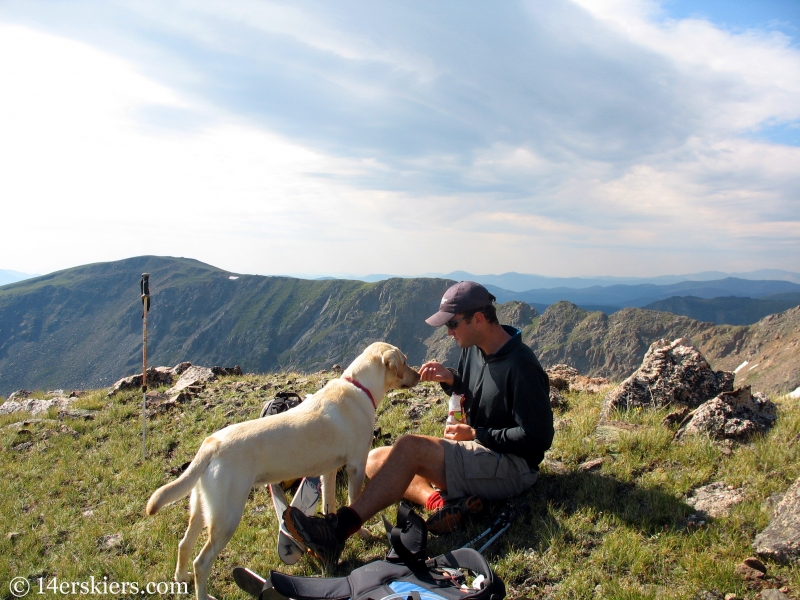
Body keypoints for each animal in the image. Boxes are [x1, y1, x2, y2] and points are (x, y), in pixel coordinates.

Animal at [146, 342, 418, 600]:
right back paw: (202, 594)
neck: (360, 387)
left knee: (183, 543)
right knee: (201, 562)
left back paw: (181, 579)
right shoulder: (356, 466)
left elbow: (329, 502)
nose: (419, 374)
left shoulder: (329, 471)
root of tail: (211, 444)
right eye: (405, 362)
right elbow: (353, 501)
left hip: (204, 507)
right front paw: (362, 533)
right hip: (227, 516)